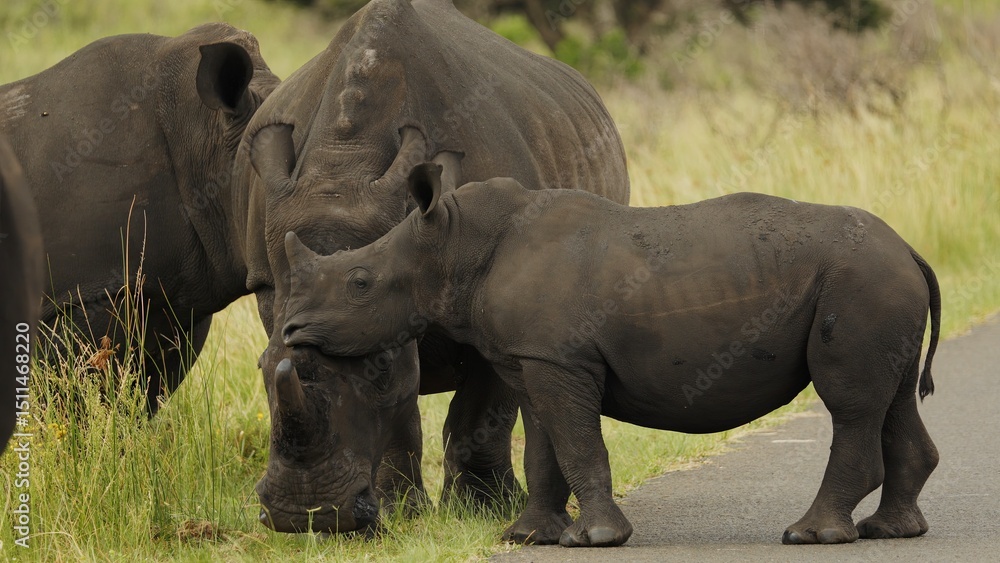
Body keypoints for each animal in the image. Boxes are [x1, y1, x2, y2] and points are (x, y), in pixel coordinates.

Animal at [241, 0, 629, 533]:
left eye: (381, 367)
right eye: (258, 365)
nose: (305, 515)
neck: (343, 173)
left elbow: (478, 408)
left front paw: (485, 509)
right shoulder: (276, 288)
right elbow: (399, 417)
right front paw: (400, 512)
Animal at [281, 164, 941, 547]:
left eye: (360, 282)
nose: (291, 330)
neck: (453, 243)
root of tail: (911, 249)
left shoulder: (558, 360)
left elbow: (577, 443)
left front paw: (597, 538)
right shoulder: (536, 358)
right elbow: (545, 447)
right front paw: (528, 537)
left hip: (859, 281)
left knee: (849, 403)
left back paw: (810, 535)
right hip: (877, 283)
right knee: (891, 398)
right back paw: (890, 531)